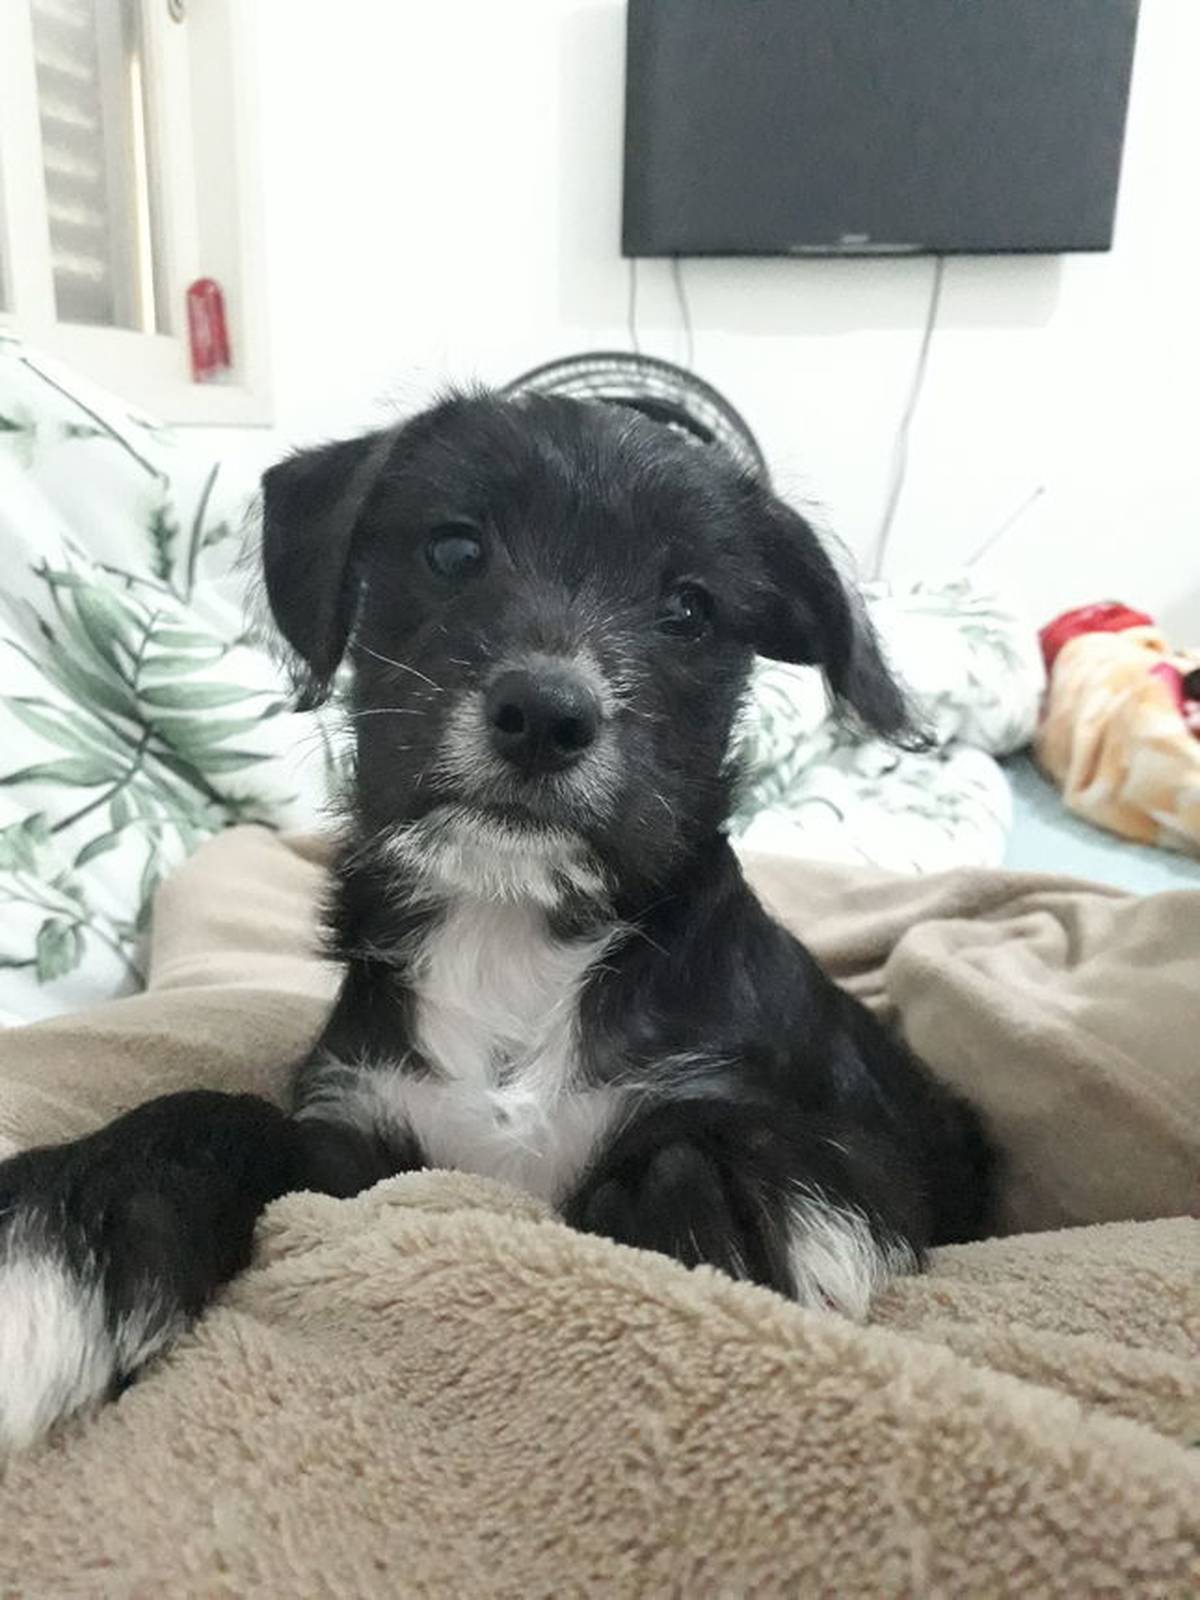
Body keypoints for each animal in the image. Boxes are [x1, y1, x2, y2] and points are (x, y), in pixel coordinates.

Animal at [0, 391, 995, 1451]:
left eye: (689, 609)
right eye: (453, 550)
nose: (546, 715)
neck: (508, 923)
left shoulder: (850, 1146)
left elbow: (710, 1152)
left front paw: (729, 1210)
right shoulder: (364, 1145)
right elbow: (221, 1114)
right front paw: (69, 1226)